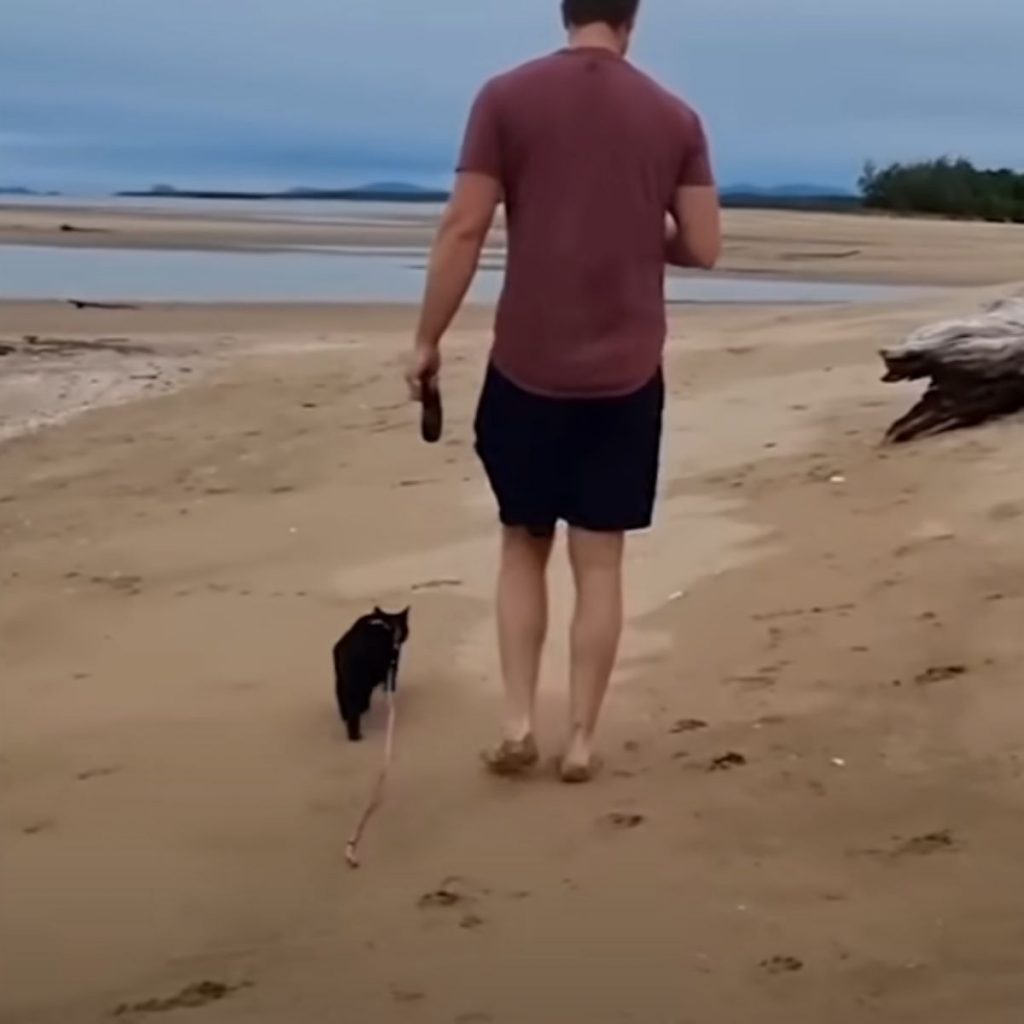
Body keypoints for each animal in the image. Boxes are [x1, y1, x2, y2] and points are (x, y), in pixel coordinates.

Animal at [333, 606, 409, 745]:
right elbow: (390, 685)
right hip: (362, 682)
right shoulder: (392, 667)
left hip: (340, 681)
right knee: (357, 706)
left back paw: (347, 719)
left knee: (344, 703)